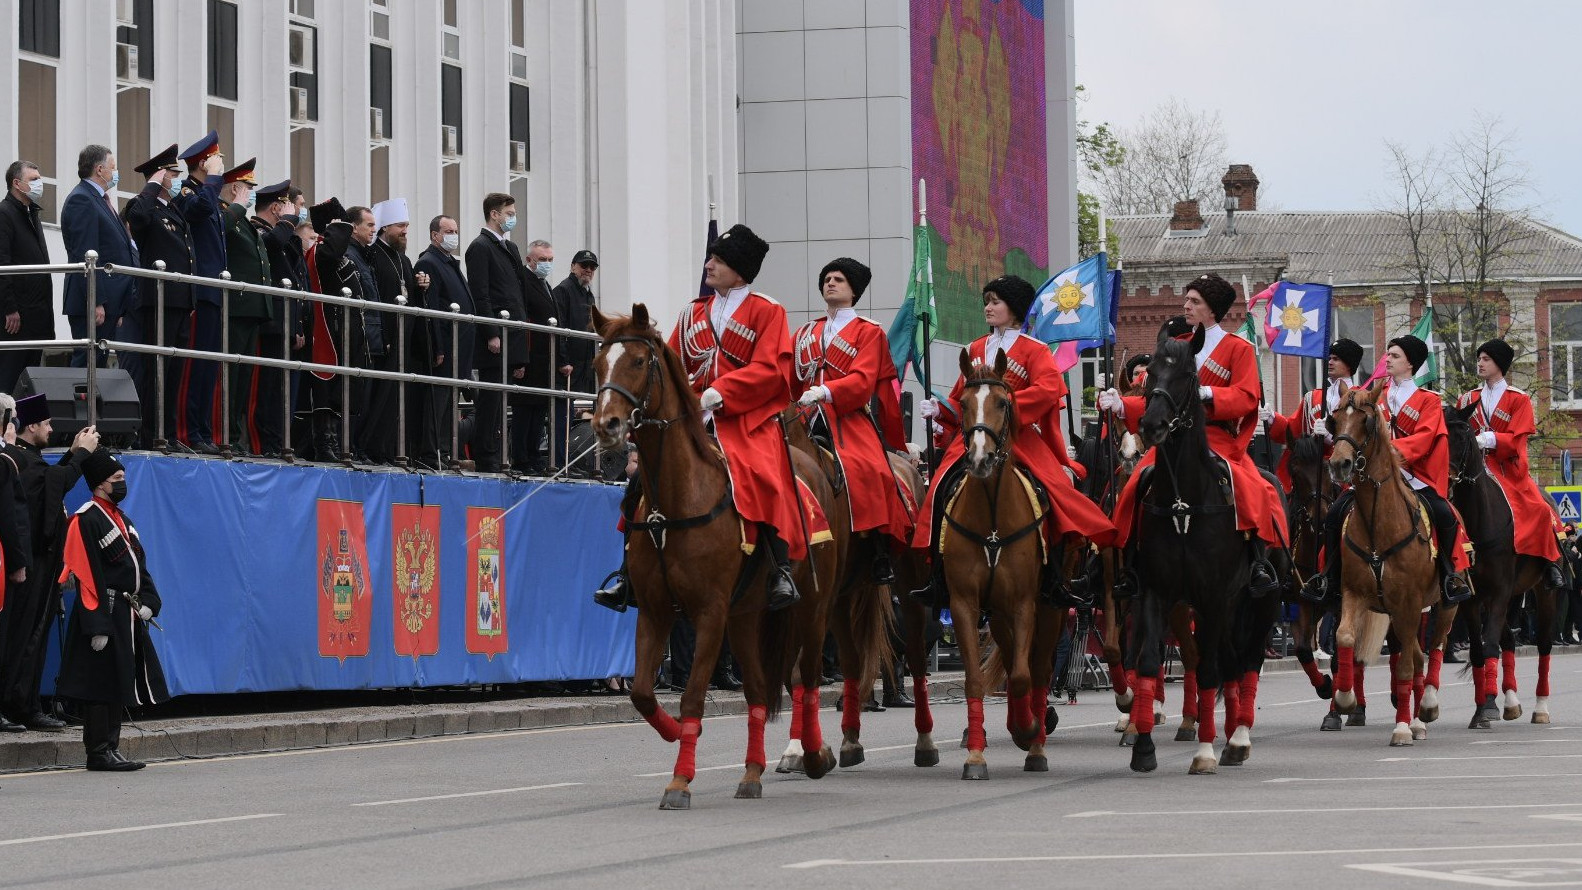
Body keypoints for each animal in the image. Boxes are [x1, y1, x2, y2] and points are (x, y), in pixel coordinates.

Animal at [591, 305, 847, 809]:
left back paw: (812, 754)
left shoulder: (708, 612)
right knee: (758, 690)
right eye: (597, 364)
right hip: (745, 616)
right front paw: (675, 735)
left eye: (638, 361)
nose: (606, 425)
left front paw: (679, 780)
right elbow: (643, 693)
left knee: (806, 678)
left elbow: (692, 695)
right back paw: (752, 773)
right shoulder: (656, 611)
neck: (673, 503)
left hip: (813, 607)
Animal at [936, 349, 1063, 780]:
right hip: (998, 611)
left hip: (1049, 609)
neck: (991, 517)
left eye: (1003, 403)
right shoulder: (964, 603)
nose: (980, 458)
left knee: (1036, 670)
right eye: (962, 403)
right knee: (1010, 658)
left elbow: (1024, 676)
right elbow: (976, 680)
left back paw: (1036, 741)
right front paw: (976, 756)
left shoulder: (1025, 603)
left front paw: (1029, 731)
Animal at [1126, 338, 1284, 777]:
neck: (1184, 503)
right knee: (1229, 660)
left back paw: (1239, 736)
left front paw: (1204, 752)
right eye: (1150, 376)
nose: (1152, 425)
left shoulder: (1214, 597)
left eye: (1186, 375)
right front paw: (1143, 747)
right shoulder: (1155, 592)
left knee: (1245, 661)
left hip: (1263, 601)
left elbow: (1212, 669)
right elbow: (1149, 662)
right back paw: (1230, 736)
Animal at [1322, 379, 1455, 749]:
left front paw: (1401, 728)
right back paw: (1418, 720)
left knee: (1434, 649)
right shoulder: (1353, 594)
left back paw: (1426, 708)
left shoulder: (1408, 604)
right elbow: (1345, 638)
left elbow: (1407, 668)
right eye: (1334, 420)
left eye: (1365, 421)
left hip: (1444, 606)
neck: (1378, 523)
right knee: (1417, 656)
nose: (1339, 464)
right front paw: (1345, 699)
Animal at [1449, 407, 1556, 727]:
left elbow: (1489, 645)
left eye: (1462, 435)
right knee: (1508, 639)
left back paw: (1540, 708)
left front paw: (1487, 706)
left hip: (1542, 593)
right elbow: (1478, 648)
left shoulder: (1498, 592)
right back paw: (1510, 701)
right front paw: (1482, 708)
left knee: (1543, 644)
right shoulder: (1472, 598)